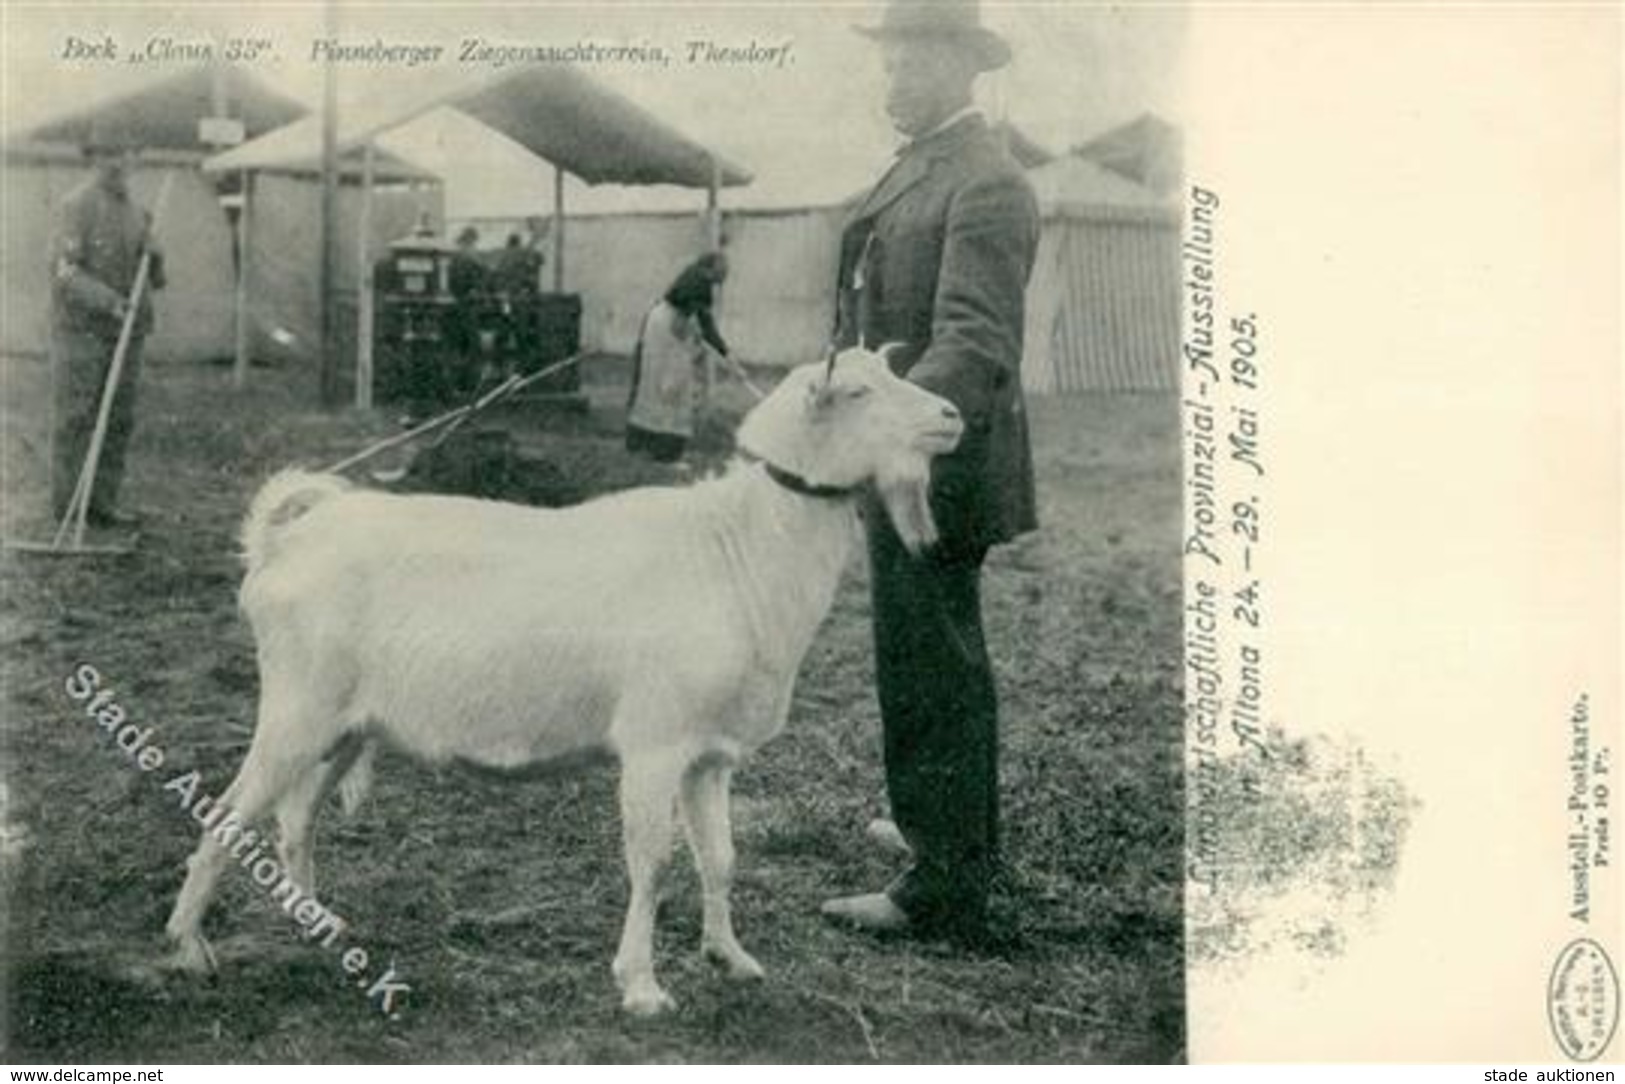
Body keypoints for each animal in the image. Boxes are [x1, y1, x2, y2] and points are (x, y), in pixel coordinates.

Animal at [164, 347, 955, 1020]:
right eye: (858, 391)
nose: (951, 416)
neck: (737, 548)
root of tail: (290, 538)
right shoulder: (654, 743)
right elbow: (654, 861)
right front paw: (641, 986)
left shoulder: (709, 755)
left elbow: (721, 860)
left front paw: (730, 957)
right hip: (297, 710)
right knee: (227, 814)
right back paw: (189, 948)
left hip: (345, 725)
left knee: (296, 818)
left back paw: (317, 922)